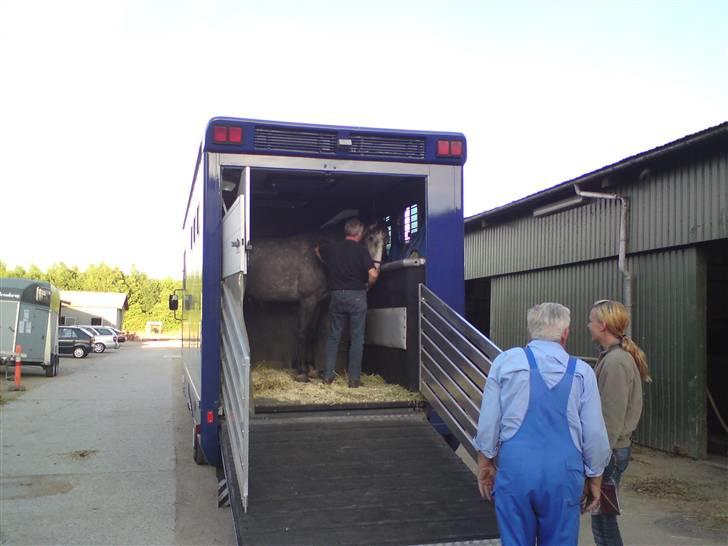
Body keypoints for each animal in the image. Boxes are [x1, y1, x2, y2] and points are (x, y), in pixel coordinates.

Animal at [247, 221, 390, 378]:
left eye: (386, 240)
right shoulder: (307, 300)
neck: (320, 259)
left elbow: (312, 332)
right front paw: (302, 372)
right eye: (370, 237)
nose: (374, 274)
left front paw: (312, 368)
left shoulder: (318, 303)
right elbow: (303, 331)